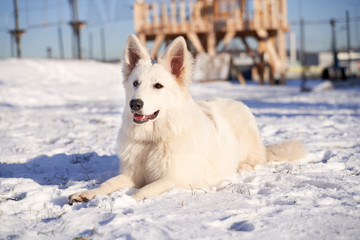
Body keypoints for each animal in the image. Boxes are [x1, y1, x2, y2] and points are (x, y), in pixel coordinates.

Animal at [68, 34, 306, 203]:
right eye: (135, 83)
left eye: (158, 86)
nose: (134, 104)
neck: (153, 139)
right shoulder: (132, 174)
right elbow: (109, 183)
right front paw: (88, 194)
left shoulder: (175, 178)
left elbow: (142, 191)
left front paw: (124, 202)